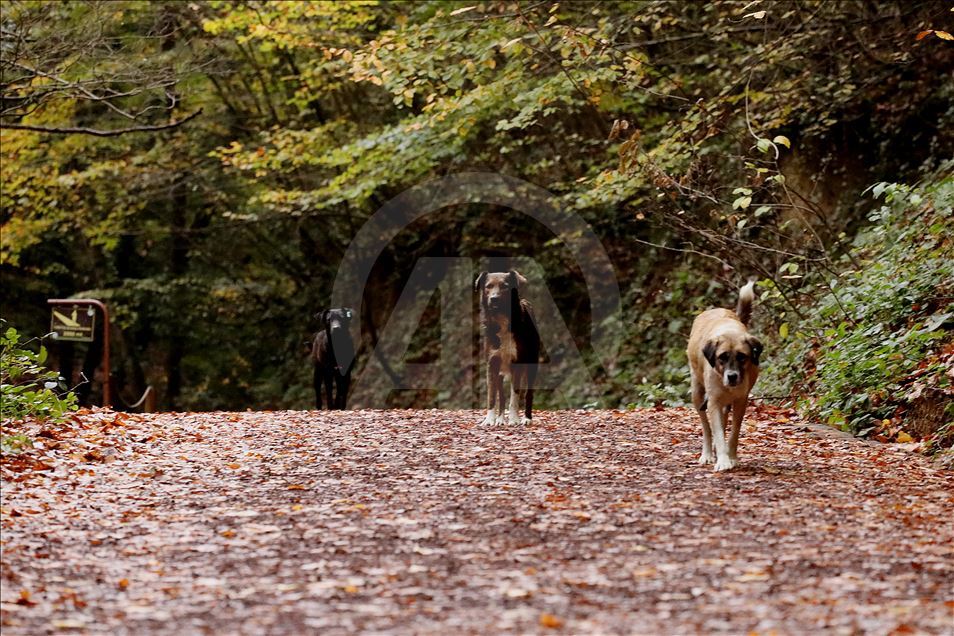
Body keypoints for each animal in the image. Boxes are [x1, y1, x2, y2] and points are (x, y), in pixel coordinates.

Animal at [474, 270, 540, 424]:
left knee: (528, 393)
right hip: (500, 371)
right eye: (488, 286)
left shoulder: (517, 362)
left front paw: (514, 419)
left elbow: (515, 395)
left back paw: (526, 418)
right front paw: (490, 419)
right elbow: (492, 395)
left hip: (532, 365)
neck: (502, 319)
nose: (494, 299)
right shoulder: (492, 363)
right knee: (501, 395)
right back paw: (500, 419)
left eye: (505, 286)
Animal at [688, 280, 764, 470]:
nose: (732, 376)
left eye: (742, 357)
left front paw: (732, 457)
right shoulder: (713, 401)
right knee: (707, 428)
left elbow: (734, 431)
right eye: (722, 357)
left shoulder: (741, 401)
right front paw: (723, 461)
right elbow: (716, 431)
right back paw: (708, 454)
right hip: (697, 394)